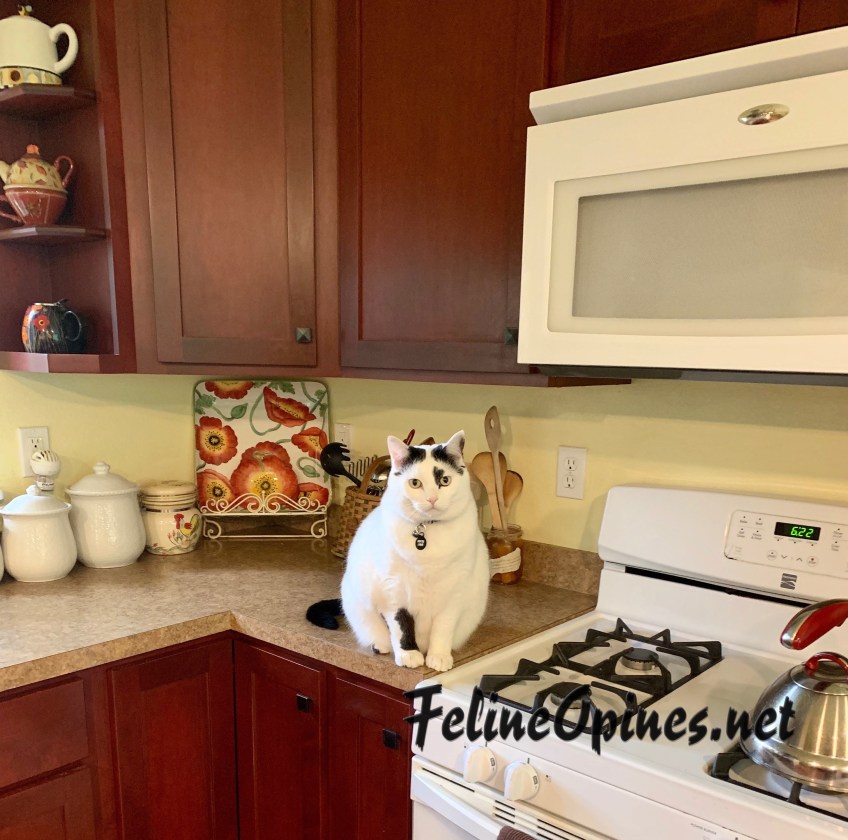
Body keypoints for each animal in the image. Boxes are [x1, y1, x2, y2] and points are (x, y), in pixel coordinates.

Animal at [308, 431, 489, 672]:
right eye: (415, 483)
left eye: (445, 481)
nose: (432, 499)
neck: (427, 532)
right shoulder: (394, 590)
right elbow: (401, 624)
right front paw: (408, 654)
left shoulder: (454, 592)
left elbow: (444, 627)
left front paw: (439, 656)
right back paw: (381, 645)